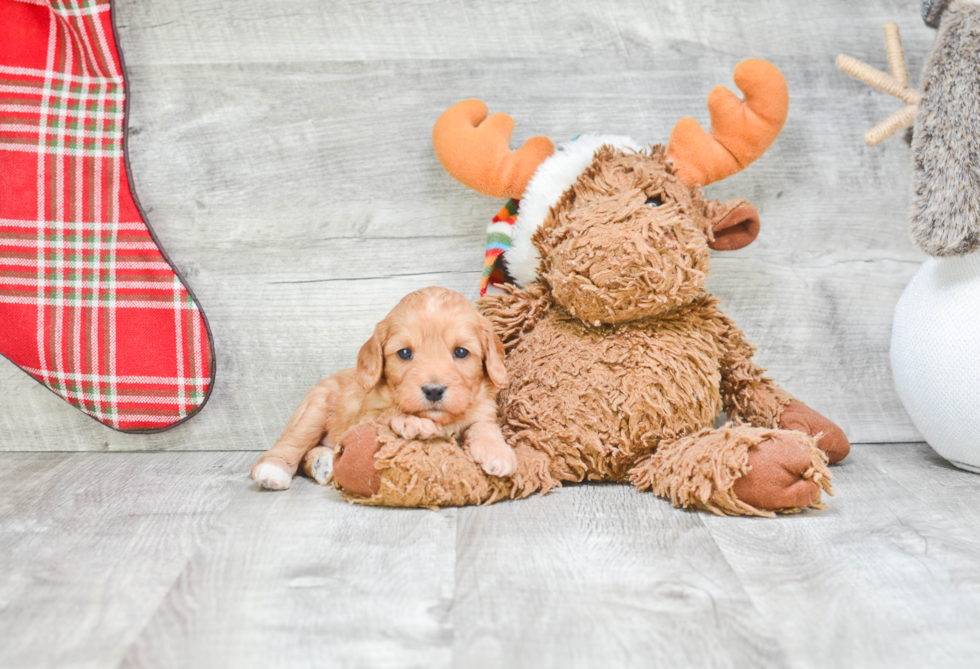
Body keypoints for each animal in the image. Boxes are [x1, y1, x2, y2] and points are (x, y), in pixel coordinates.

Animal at [249, 288, 516, 490]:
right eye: (405, 353)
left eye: (461, 352)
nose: (433, 390)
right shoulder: (360, 418)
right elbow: (386, 413)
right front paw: (412, 422)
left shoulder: (484, 408)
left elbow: (484, 426)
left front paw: (497, 452)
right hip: (314, 408)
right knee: (290, 444)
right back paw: (273, 470)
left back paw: (323, 463)